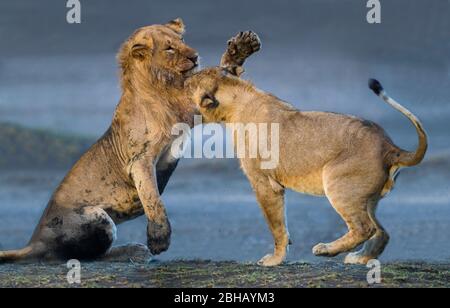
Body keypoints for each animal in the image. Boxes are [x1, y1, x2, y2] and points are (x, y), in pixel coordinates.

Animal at [0, 19, 262, 262]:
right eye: (169, 48)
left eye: (182, 41)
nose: (195, 56)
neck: (165, 83)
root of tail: (33, 241)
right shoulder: (140, 160)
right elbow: (153, 200)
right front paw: (159, 239)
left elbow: (225, 71)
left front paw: (242, 47)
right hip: (97, 217)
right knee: (76, 256)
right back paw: (134, 250)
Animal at [187, 68, 428, 268]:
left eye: (189, 83)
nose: (181, 80)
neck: (236, 103)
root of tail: (390, 147)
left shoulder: (264, 183)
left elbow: (276, 225)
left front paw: (274, 260)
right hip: (367, 197)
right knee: (381, 232)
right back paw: (360, 258)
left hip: (338, 184)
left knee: (364, 228)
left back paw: (326, 250)